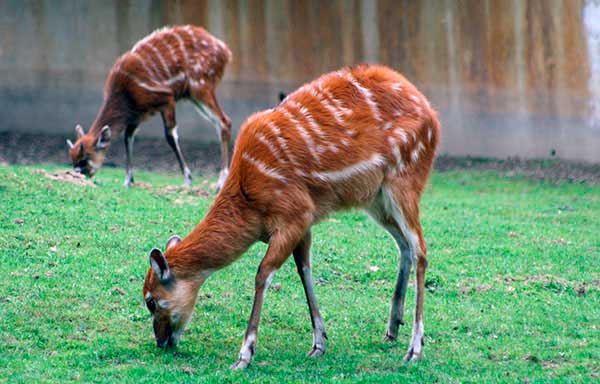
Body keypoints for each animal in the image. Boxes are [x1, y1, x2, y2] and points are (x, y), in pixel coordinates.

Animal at [67, 24, 232, 190]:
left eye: (85, 158)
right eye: (72, 159)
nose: (78, 175)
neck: (126, 92)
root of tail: (225, 51)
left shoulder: (166, 99)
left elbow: (170, 136)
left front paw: (187, 180)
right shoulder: (137, 115)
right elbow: (128, 137)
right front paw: (128, 181)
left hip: (201, 86)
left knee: (224, 121)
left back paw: (220, 183)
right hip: (193, 94)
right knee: (221, 122)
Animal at [141, 64, 440, 368]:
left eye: (151, 300)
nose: (162, 341)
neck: (249, 200)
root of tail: (431, 114)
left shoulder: (294, 215)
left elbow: (263, 274)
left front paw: (244, 355)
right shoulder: (304, 222)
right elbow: (303, 268)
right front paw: (319, 343)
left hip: (404, 181)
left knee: (421, 249)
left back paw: (415, 348)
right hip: (375, 200)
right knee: (404, 245)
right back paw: (392, 328)